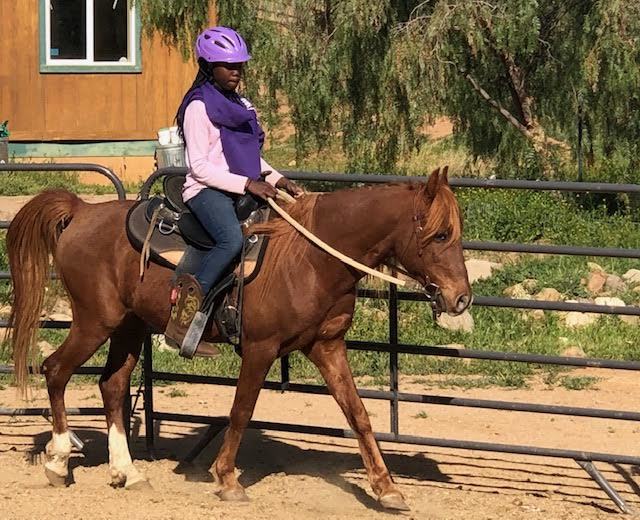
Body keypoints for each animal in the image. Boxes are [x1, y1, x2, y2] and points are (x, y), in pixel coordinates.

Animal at [5, 168, 470, 512]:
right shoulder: (260, 348)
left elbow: (358, 414)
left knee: (112, 385)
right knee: (55, 370)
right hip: (94, 321)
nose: (461, 298)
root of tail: (82, 212)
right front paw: (227, 478)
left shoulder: (328, 346)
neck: (309, 258)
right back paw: (58, 461)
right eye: (440, 235)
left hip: (129, 326)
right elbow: (242, 411)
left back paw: (128, 472)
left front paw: (387, 488)